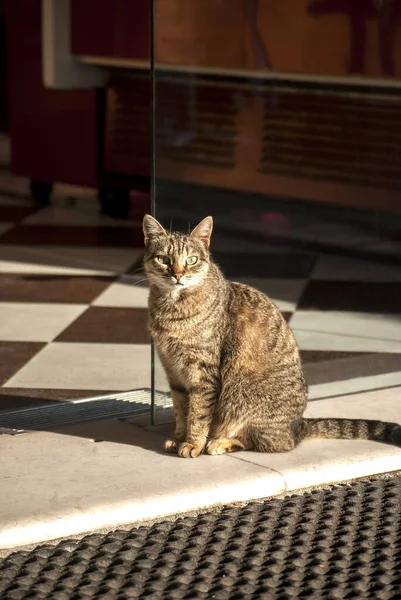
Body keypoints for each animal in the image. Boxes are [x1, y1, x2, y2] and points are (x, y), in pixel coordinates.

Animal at [142, 213, 398, 458]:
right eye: (164, 259)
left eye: (191, 260)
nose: (177, 275)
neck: (171, 307)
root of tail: (299, 426)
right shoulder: (172, 369)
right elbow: (180, 409)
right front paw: (178, 438)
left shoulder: (202, 373)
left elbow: (198, 413)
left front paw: (192, 443)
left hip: (243, 399)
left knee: (271, 443)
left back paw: (221, 442)